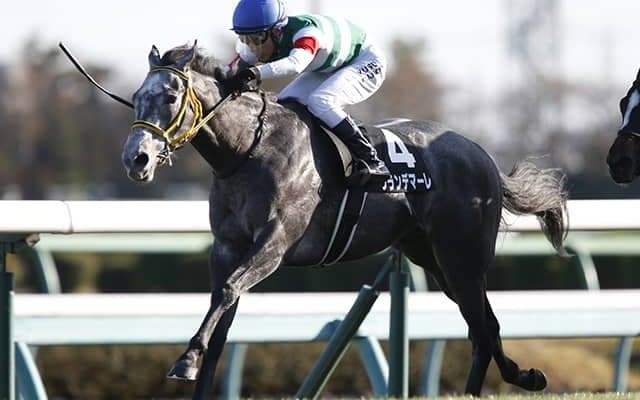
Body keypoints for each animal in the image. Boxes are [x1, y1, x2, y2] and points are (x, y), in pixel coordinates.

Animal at [121, 43, 568, 398]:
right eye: (137, 96)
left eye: (171, 95)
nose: (135, 159)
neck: (248, 150)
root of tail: (481, 154)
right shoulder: (228, 247)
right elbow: (221, 311)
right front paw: (196, 363)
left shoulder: (275, 244)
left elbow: (229, 290)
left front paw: (185, 359)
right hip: (434, 258)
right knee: (482, 326)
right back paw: (518, 378)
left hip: (462, 257)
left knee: (482, 325)